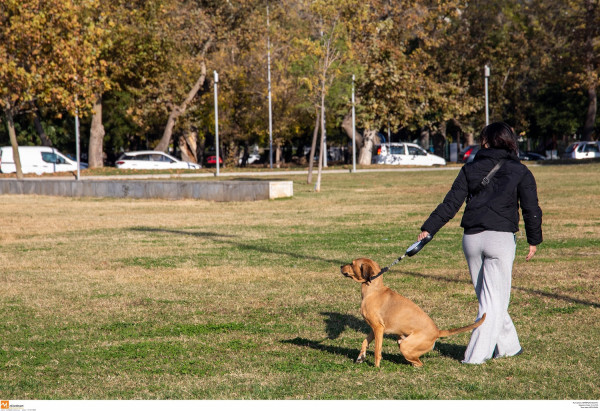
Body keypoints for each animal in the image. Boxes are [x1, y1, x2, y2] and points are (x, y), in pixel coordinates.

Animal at [340, 260, 486, 368]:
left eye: (352, 263)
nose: (341, 266)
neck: (374, 290)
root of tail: (437, 331)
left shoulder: (378, 328)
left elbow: (377, 350)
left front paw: (376, 367)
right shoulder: (374, 328)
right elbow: (365, 342)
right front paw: (361, 357)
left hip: (405, 346)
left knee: (419, 363)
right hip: (401, 341)